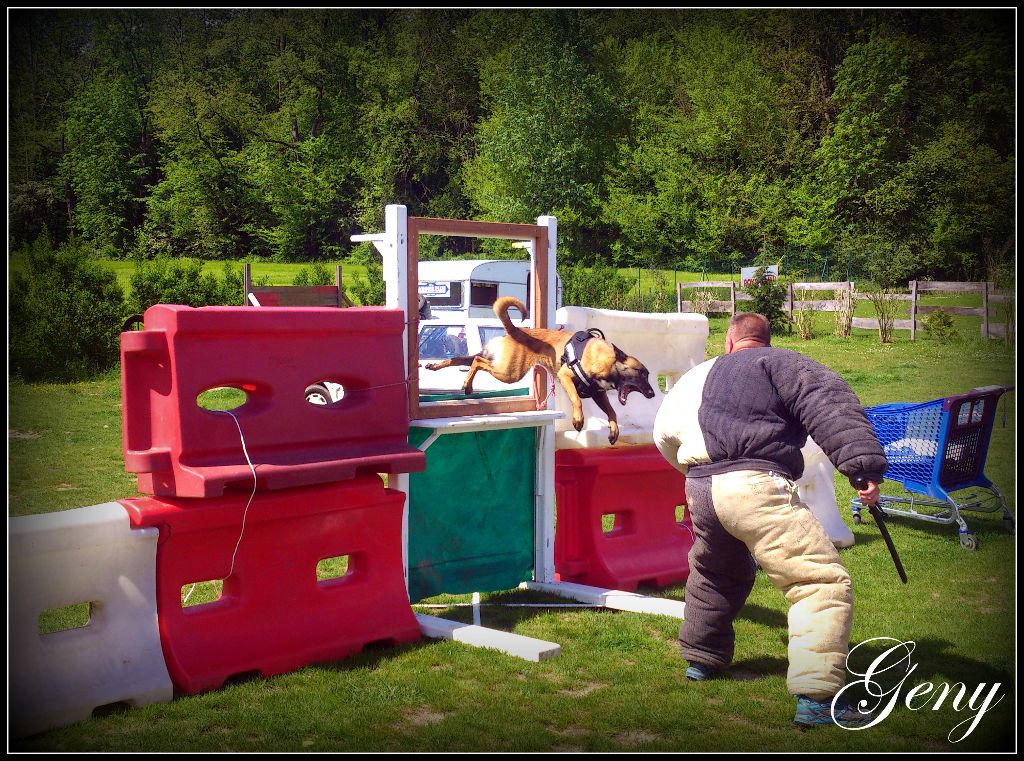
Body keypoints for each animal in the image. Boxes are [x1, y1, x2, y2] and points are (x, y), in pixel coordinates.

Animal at [423, 297, 655, 444]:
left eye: (647, 374)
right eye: (641, 373)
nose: (652, 393)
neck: (607, 360)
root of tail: (516, 331)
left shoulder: (598, 393)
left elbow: (612, 411)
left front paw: (614, 430)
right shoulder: (566, 375)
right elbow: (577, 400)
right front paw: (578, 420)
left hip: (497, 362)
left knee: (461, 359)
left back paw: (443, 371)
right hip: (509, 373)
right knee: (478, 362)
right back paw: (467, 384)